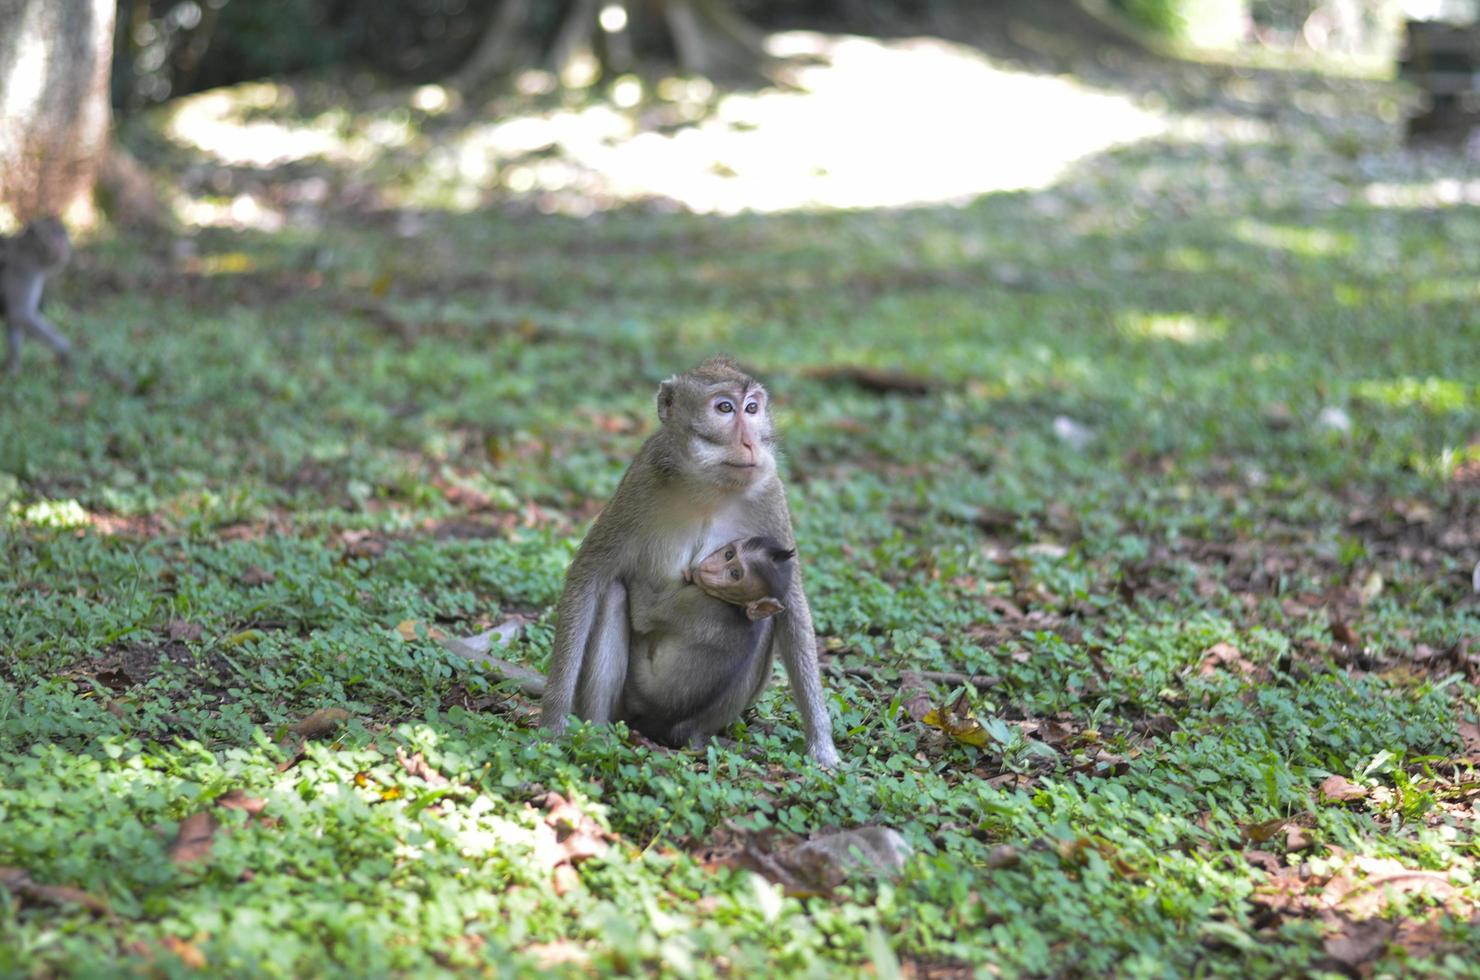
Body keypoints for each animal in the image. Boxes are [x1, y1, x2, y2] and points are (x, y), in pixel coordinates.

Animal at [544, 356, 846, 769]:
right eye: (725, 408)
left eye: (753, 408)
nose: (750, 442)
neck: (709, 486)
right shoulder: (641, 481)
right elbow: (589, 575)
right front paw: (554, 722)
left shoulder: (770, 491)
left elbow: (792, 603)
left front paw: (822, 743)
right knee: (613, 595)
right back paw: (600, 733)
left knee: (766, 621)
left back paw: (694, 739)